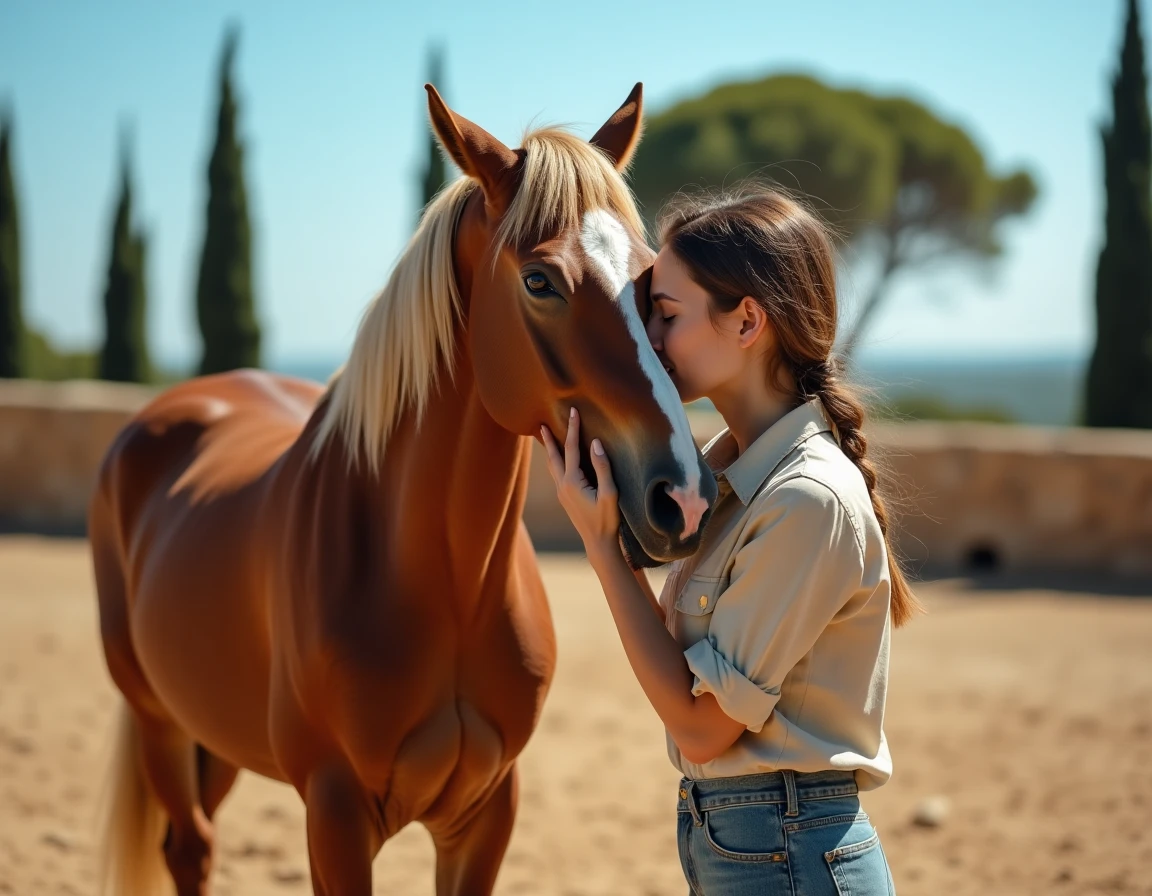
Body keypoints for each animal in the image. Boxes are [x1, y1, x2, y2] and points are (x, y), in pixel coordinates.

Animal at [87, 83, 718, 896]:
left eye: (651, 284)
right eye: (539, 280)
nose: (684, 496)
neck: (440, 586)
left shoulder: (486, 813)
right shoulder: (335, 813)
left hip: (214, 731)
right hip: (159, 720)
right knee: (187, 846)